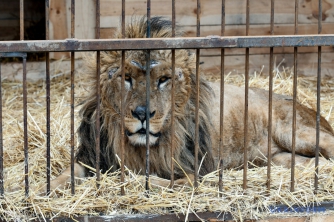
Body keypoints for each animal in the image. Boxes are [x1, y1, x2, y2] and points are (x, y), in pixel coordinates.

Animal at [49, 16, 334, 191]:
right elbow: (67, 173)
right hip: (277, 159)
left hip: (296, 131)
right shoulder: (92, 157)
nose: (143, 113)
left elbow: (149, 180)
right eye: (126, 78)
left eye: (163, 79)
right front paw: (45, 190)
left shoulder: (191, 171)